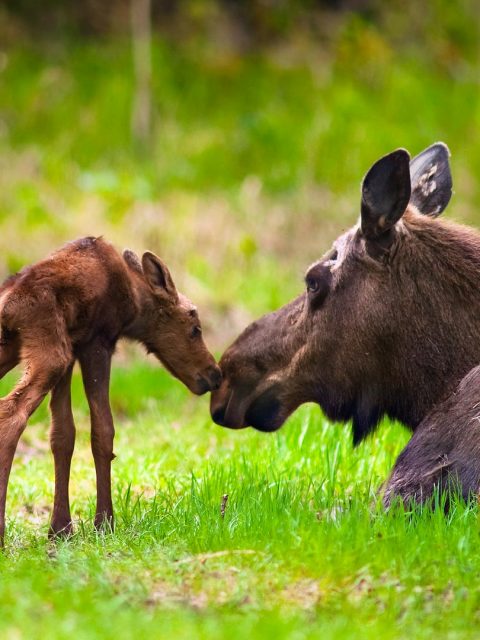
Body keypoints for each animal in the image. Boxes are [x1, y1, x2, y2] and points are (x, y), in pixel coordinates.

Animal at [0, 238, 222, 544]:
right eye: (194, 328)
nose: (215, 374)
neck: (134, 302)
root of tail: (8, 308)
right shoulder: (98, 342)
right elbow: (103, 432)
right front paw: (104, 522)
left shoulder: (72, 349)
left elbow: (63, 435)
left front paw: (60, 529)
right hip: (50, 355)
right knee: (11, 414)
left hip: (15, 349)